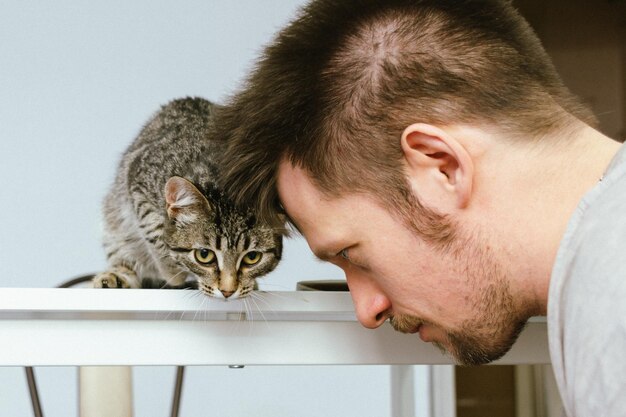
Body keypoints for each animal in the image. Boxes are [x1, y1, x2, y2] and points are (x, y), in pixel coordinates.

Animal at [94, 96, 282, 300]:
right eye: (204, 255)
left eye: (252, 257)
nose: (227, 291)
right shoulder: (138, 180)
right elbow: (156, 230)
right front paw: (172, 271)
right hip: (114, 224)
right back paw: (115, 277)